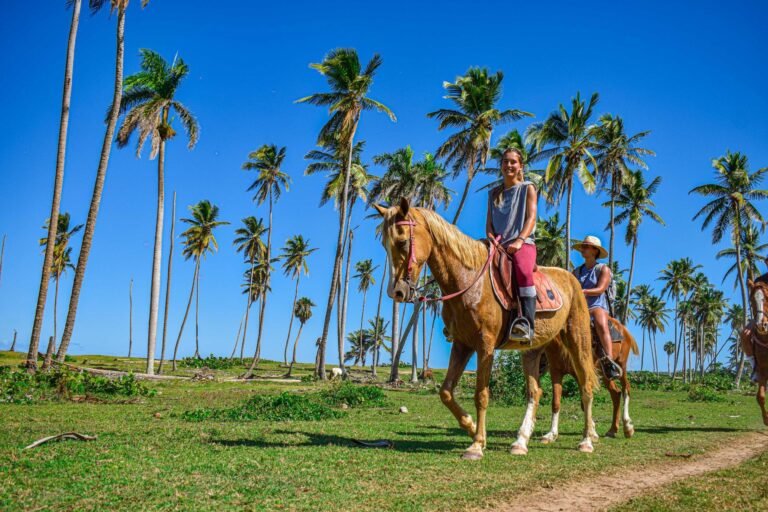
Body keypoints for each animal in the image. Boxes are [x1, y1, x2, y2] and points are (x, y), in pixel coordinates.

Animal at [374, 199, 599, 460]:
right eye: (384, 244)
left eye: (402, 242)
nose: (396, 292)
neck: (469, 281)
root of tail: (572, 280)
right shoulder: (462, 344)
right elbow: (446, 392)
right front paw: (472, 427)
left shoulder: (485, 345)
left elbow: (481, 395)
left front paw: (477, 444)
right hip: (533, 349)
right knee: (535, 392)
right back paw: (521, 441)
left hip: (578, 340)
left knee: (586, 385)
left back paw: (586, 440)